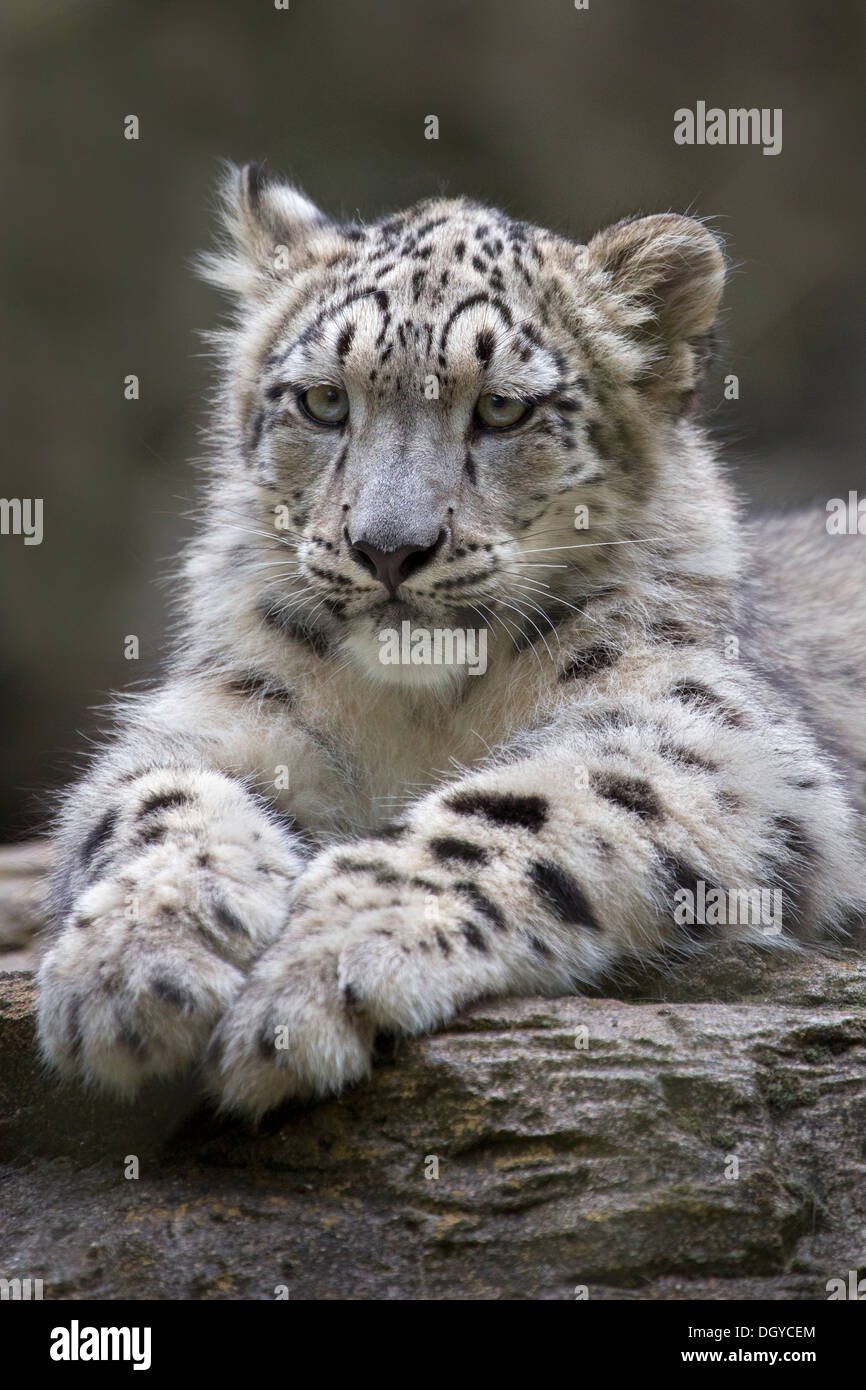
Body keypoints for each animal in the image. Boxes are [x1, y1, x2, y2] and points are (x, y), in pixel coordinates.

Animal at [37, 162, 866, 1119]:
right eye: (323, 401)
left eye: (502, 409)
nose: (389, 546)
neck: (418, 711)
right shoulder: (221, 713)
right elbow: (151, 799)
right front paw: (133, 969)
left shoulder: (707, 732)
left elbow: (523, 806)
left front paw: (327, 965)